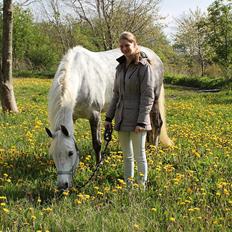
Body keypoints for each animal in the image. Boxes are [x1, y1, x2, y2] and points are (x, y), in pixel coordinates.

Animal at [45, 45, 172, 190]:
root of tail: (155, 57)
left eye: (70, 153)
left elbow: (97, 143)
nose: (63, 185)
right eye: (53, 154)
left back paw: (154, 152)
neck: (81, 77)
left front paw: (98, 166)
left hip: (153, 98)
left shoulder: (94, 114)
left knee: (157, 124)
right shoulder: (73, 117)